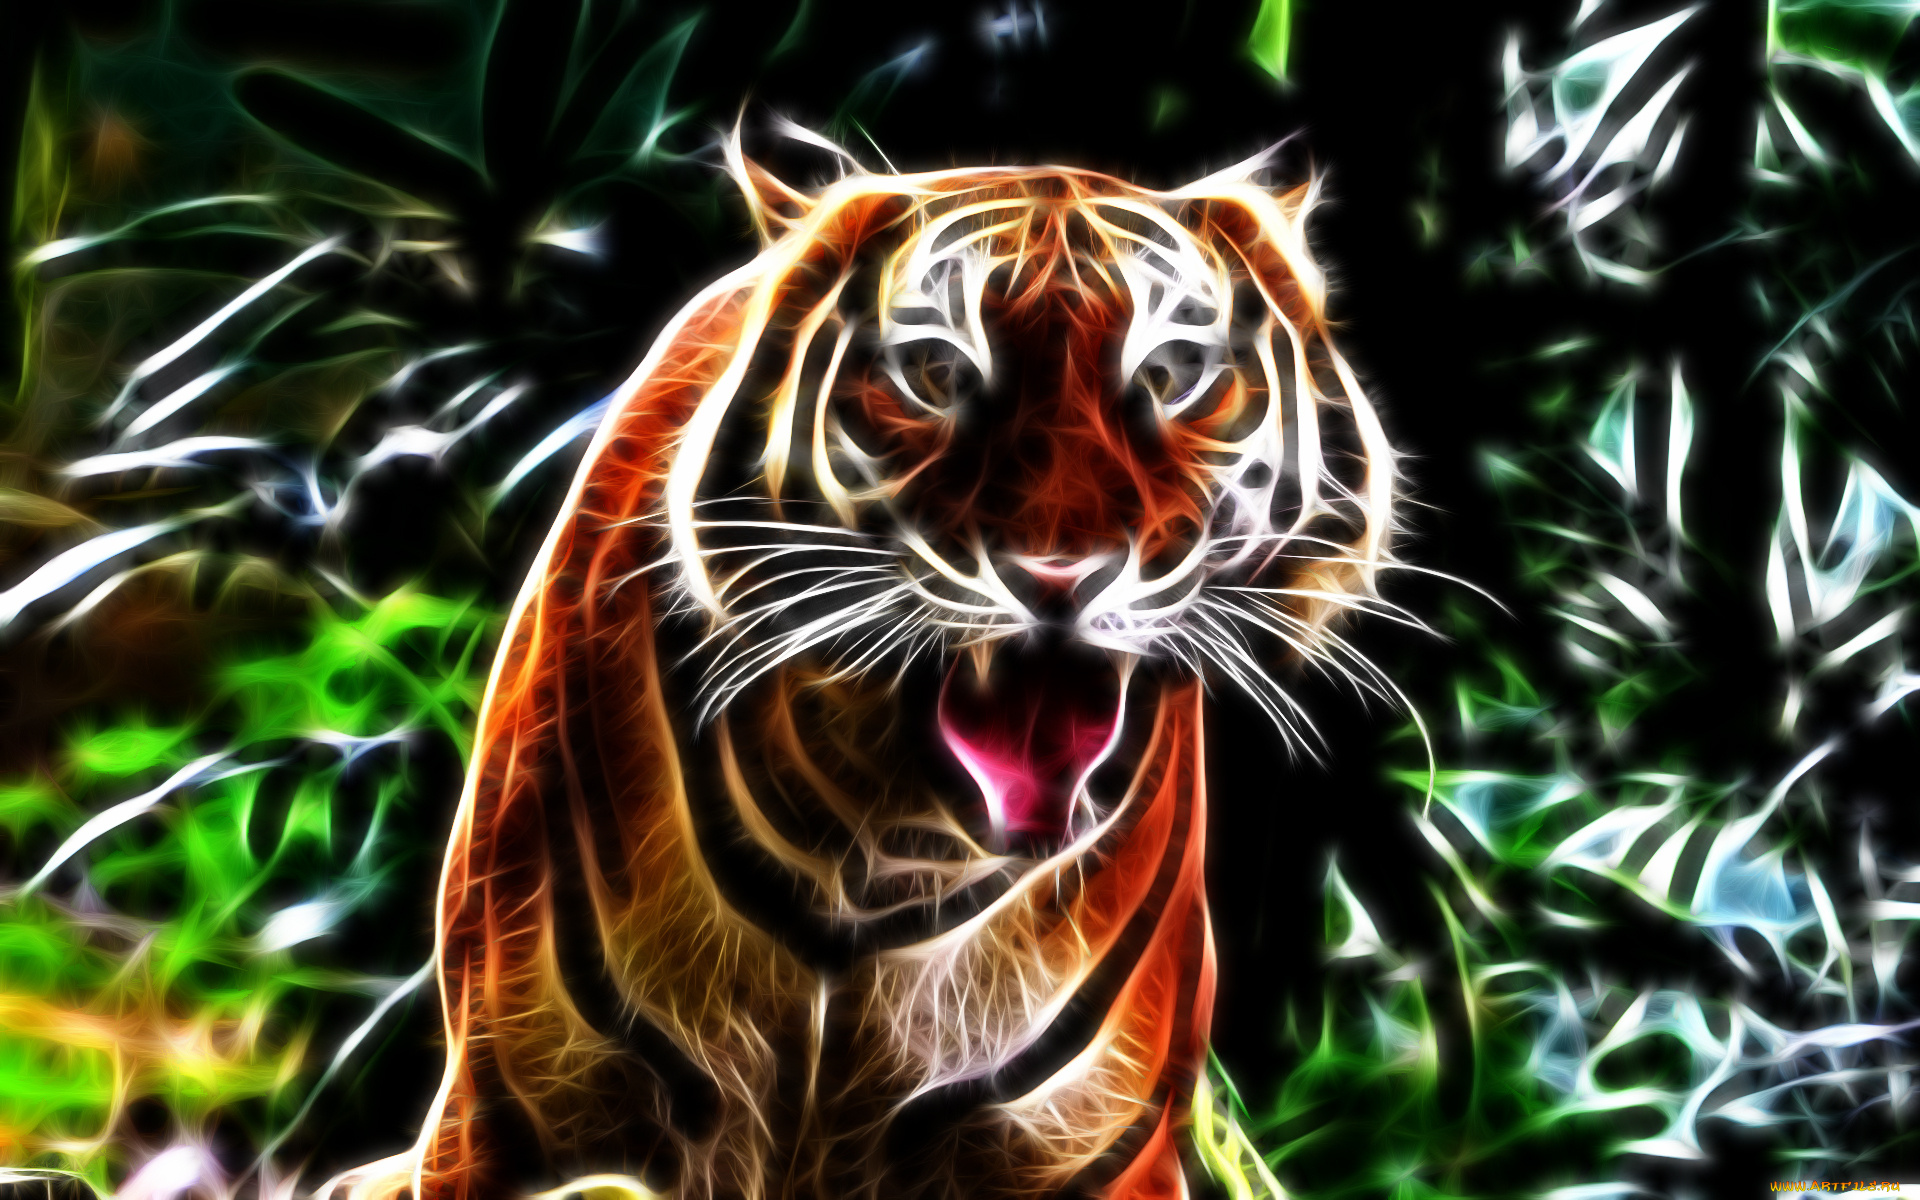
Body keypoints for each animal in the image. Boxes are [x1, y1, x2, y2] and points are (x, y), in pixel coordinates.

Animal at [324, 134, 1395, 1200]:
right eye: (934, 369)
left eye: (1172, 373)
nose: (1061, 575)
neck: (883, 842)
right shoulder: (502, 1127)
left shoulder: (1085, 1152)